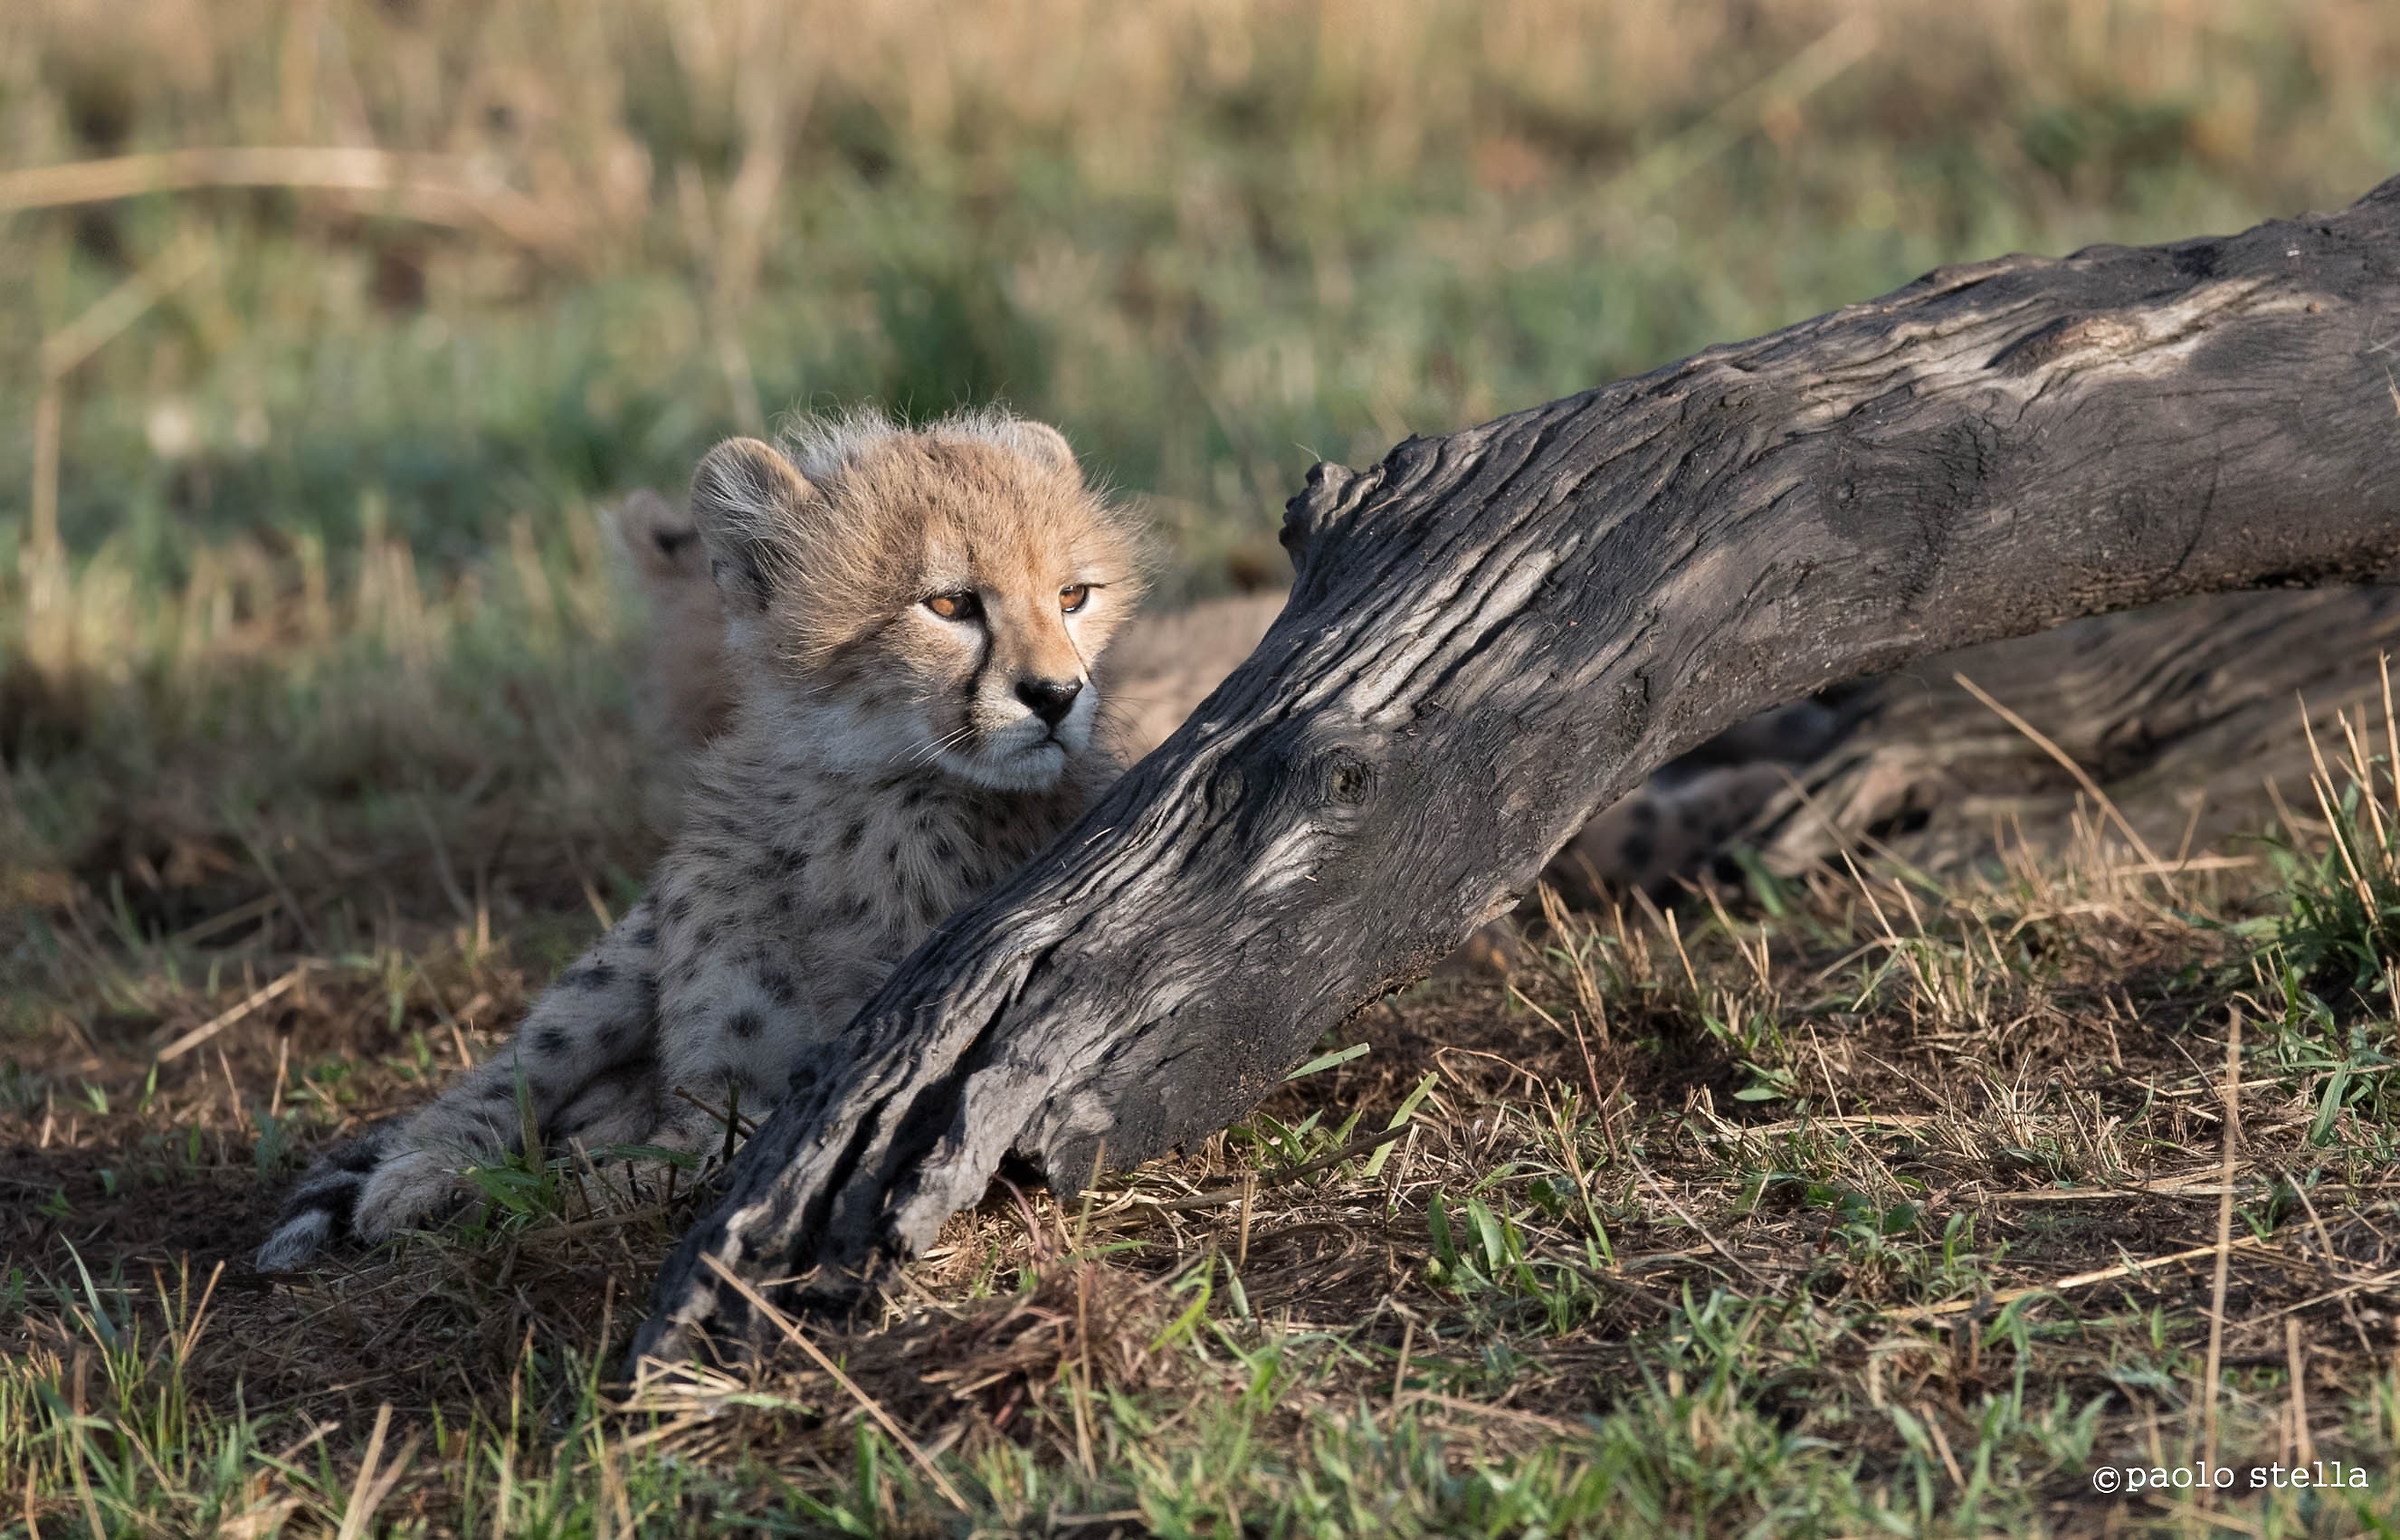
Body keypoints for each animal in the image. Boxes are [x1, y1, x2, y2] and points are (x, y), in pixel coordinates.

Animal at [255, 407, 1145, 1269]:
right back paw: (421, 1171)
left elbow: (671, 1162)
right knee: (512, 1066)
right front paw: (503, 1180)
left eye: (1073, 595)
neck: (868, 802)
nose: (1057, 695)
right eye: (951, 604)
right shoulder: (728, 1084)